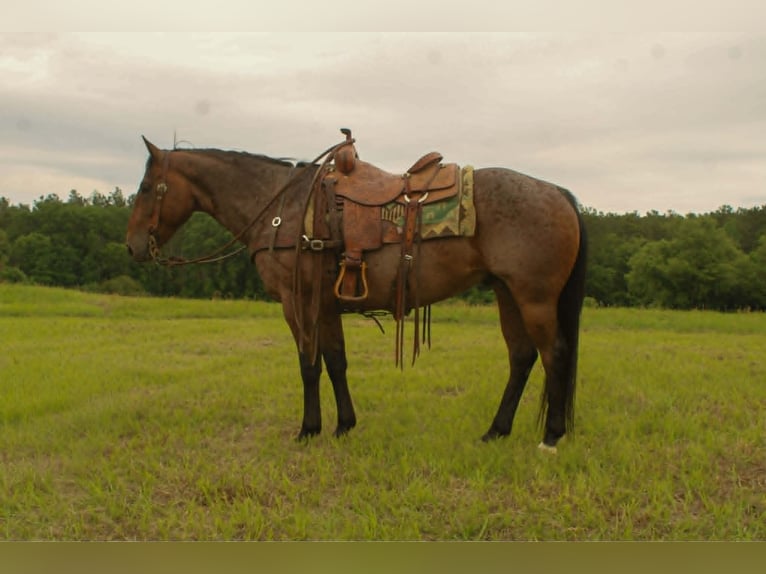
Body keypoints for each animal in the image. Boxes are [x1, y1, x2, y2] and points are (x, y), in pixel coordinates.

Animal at [126, 133, 587, 451]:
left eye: (147, 188)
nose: (132, 247)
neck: (281, 208)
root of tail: (557, 192)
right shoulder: (327, 306)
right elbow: (336, 362)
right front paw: (344, 425)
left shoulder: (299, 303)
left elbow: (308, 365)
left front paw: (308, 429)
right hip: (507, 293)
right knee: (522, 357)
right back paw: (495, 431)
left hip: (534, 298)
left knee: (553, 355)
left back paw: (551, 437)